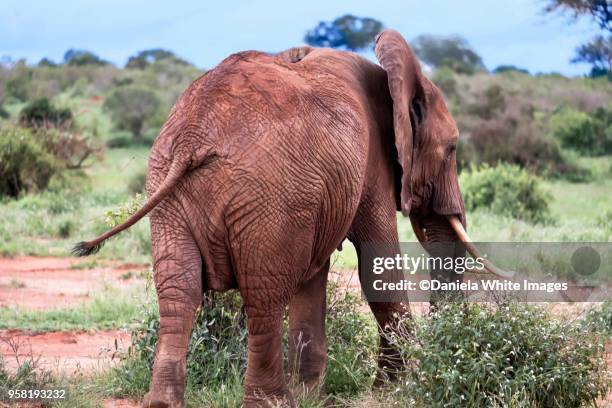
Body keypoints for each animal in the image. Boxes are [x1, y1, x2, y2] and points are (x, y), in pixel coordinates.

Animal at [71, 29, 498, 408]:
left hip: (172, 194)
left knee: (180, 291)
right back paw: (272, 402)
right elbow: (378, 268)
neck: (394, 80)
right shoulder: (372, 163)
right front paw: (397, 389)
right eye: (452, 149)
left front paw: (316, 397)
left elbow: (314, 278)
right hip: (268, 197)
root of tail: (194, 136)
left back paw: (164, 402)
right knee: (264, 296)